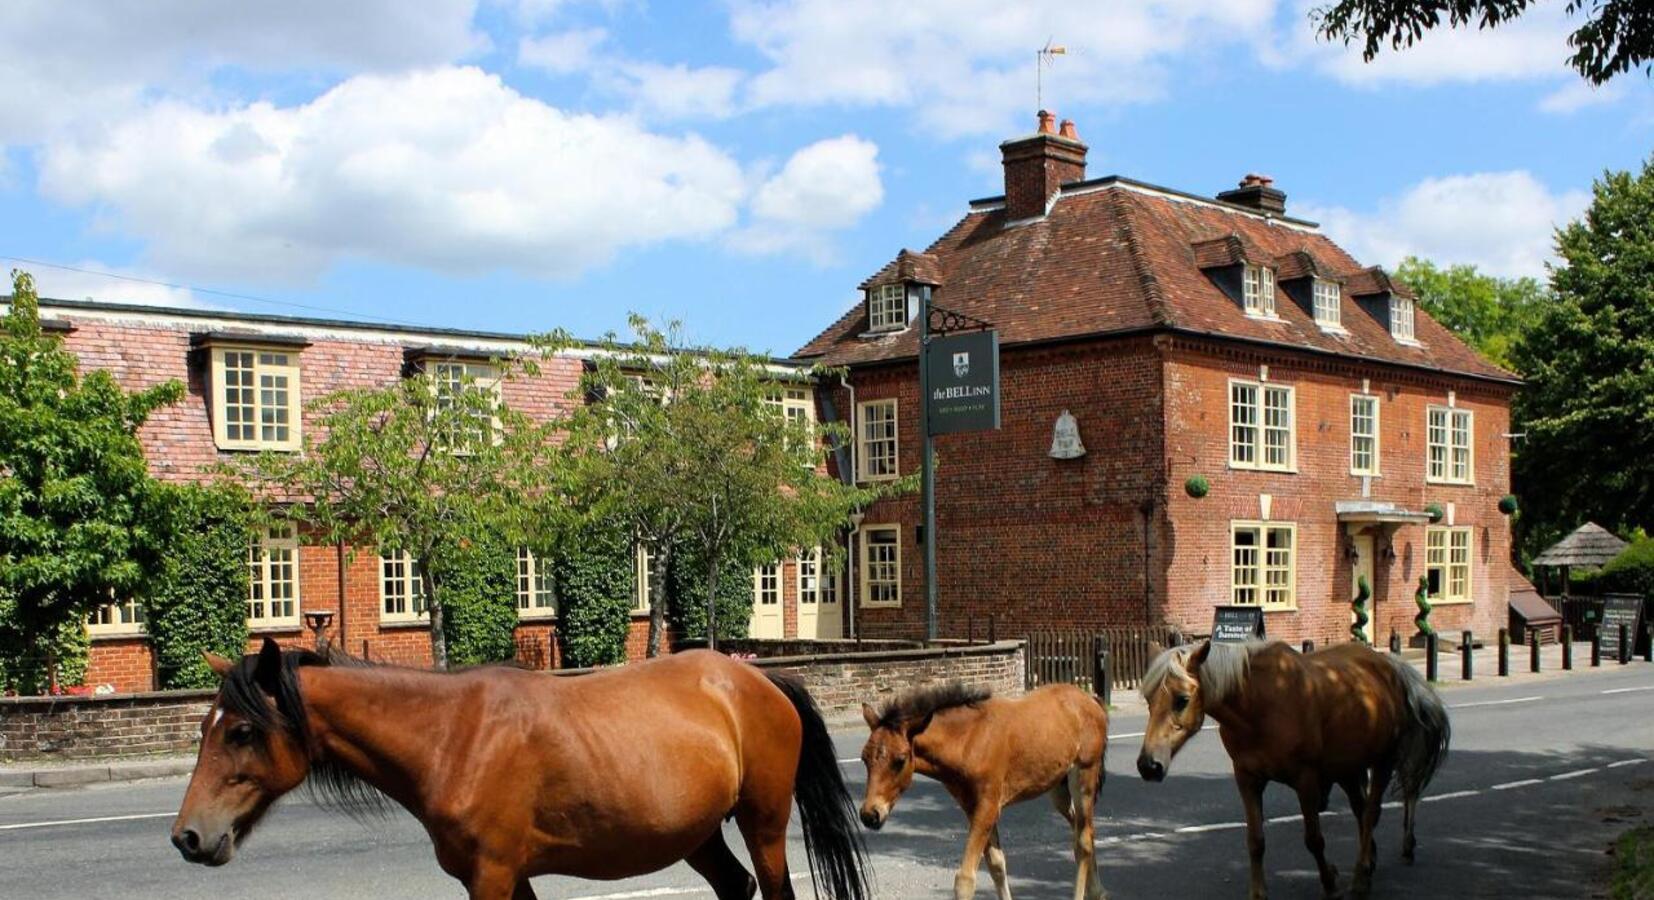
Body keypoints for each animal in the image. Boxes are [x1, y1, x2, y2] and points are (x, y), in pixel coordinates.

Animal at [171, 638, 866, 900]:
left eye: (240, 731)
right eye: (204, 729)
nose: (188, 836)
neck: (454, 737)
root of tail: (757, 678)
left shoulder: (493, 876)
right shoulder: (509, 877)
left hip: (763, 821)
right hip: (696, 834)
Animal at [853, 681, 1111, 900]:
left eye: (900, 760)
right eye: (864, 758)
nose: (870, 815)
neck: (968, 741)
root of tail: (1091, 700)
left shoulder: (988, 807)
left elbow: (965, 879)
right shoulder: (972, 808)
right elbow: (997, 865)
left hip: (1084, 775)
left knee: (1083, 841)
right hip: (1058, 789)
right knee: (1085, 831)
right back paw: (1098, 892)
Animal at [1137, 638, 1448, 900]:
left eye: (1182, 699)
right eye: (1149, 700)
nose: (1148, 765)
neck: (1261, 705)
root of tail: (1389, 666)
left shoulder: (1306, 780)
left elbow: (1314, 839)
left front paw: (1330, 882)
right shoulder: (1247, 779)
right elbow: (1256, 840)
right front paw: (1258, 893)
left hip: (1383, 761)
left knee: (1372, 813)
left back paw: (1361, 877)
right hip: (1348, 768)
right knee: (1362, 812)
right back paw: (1369, 862)